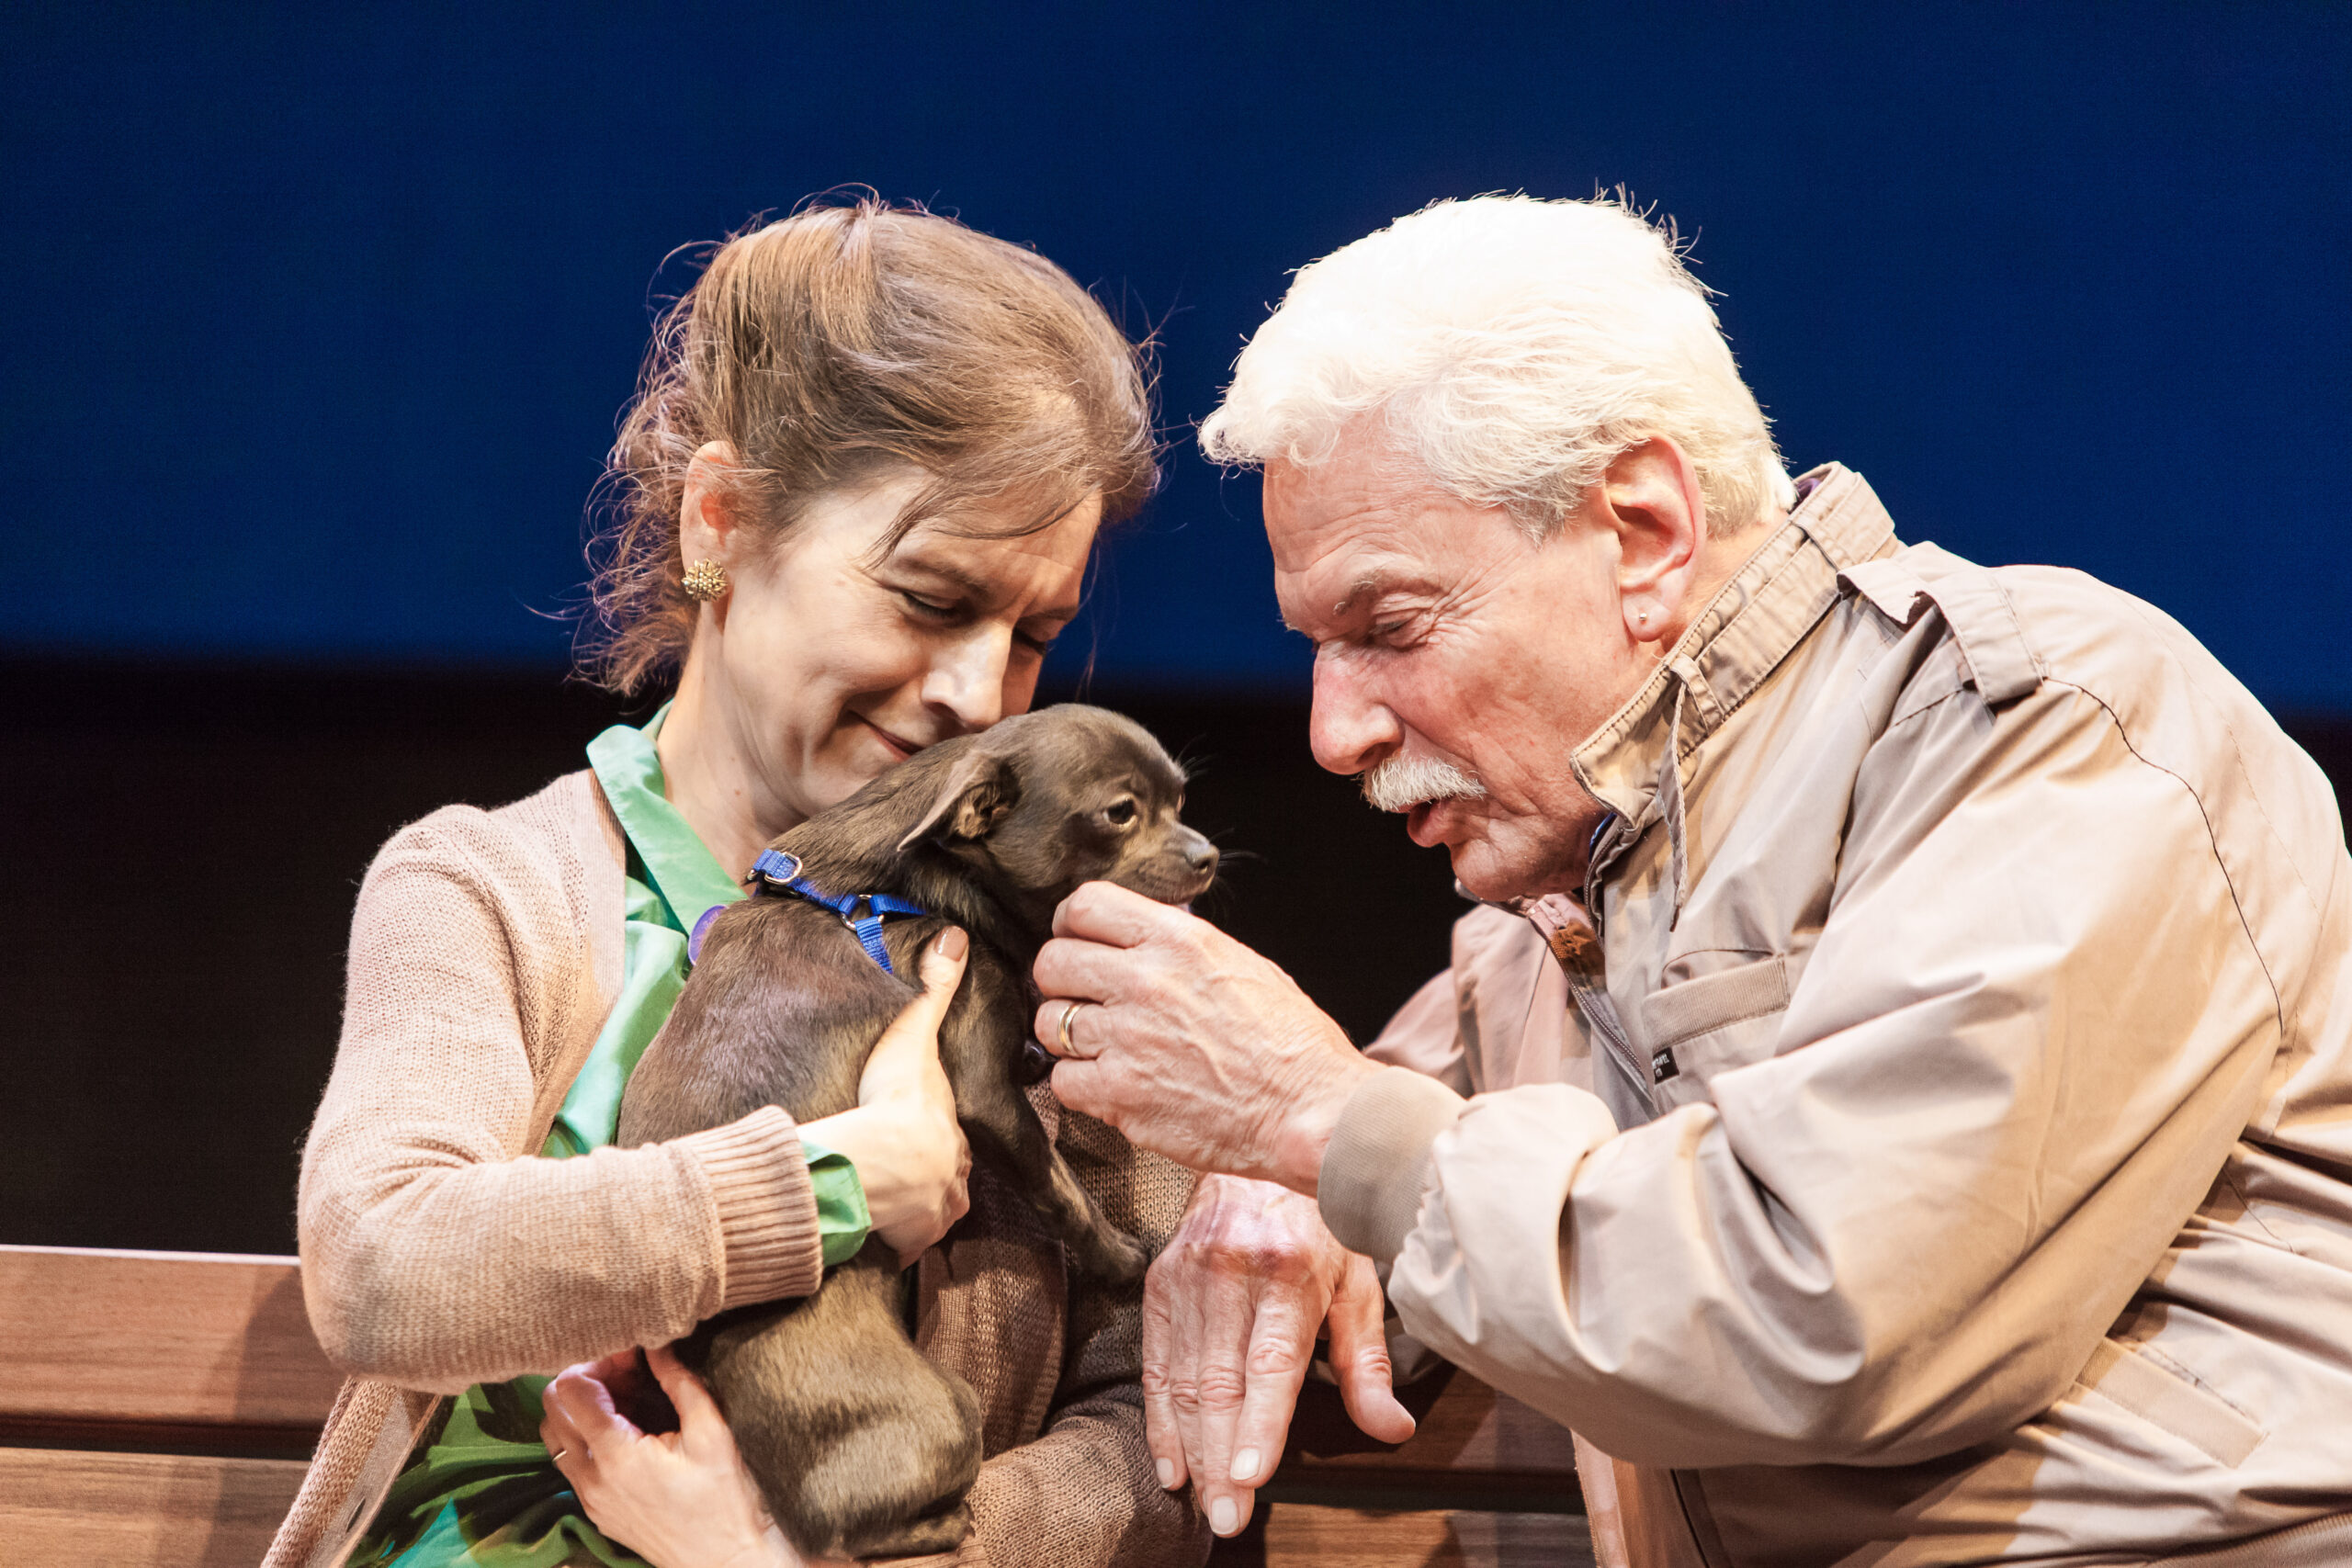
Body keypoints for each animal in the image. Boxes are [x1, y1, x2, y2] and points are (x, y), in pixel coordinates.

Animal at [615, 703, 1218, 1560]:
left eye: (1181, 799)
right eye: (1120, 813)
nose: (1207, 855)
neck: (891, 886)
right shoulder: (982, 1086)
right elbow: (1059, 1185)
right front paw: (1121, 1260)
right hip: (947, 1413)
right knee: (855, 1532)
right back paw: (947, 1520)